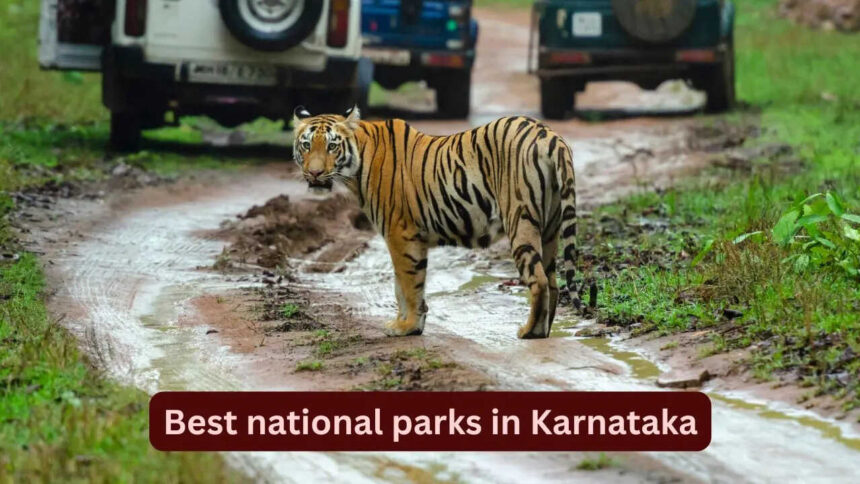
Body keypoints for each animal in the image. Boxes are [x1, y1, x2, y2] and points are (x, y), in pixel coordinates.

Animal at [292, 106, 579, 339]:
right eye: (306, 145)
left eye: (332, 146)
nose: (314, 173)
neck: (357, 165)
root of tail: (549, 135)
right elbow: (400, 285)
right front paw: (405, 323)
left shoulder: (400, 234)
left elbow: (408, 284)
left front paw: (407, 326)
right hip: (550, 228)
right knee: (553, 281)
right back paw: (545, 329)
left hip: (521, 220)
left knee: (539, 280)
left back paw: (530, 331)